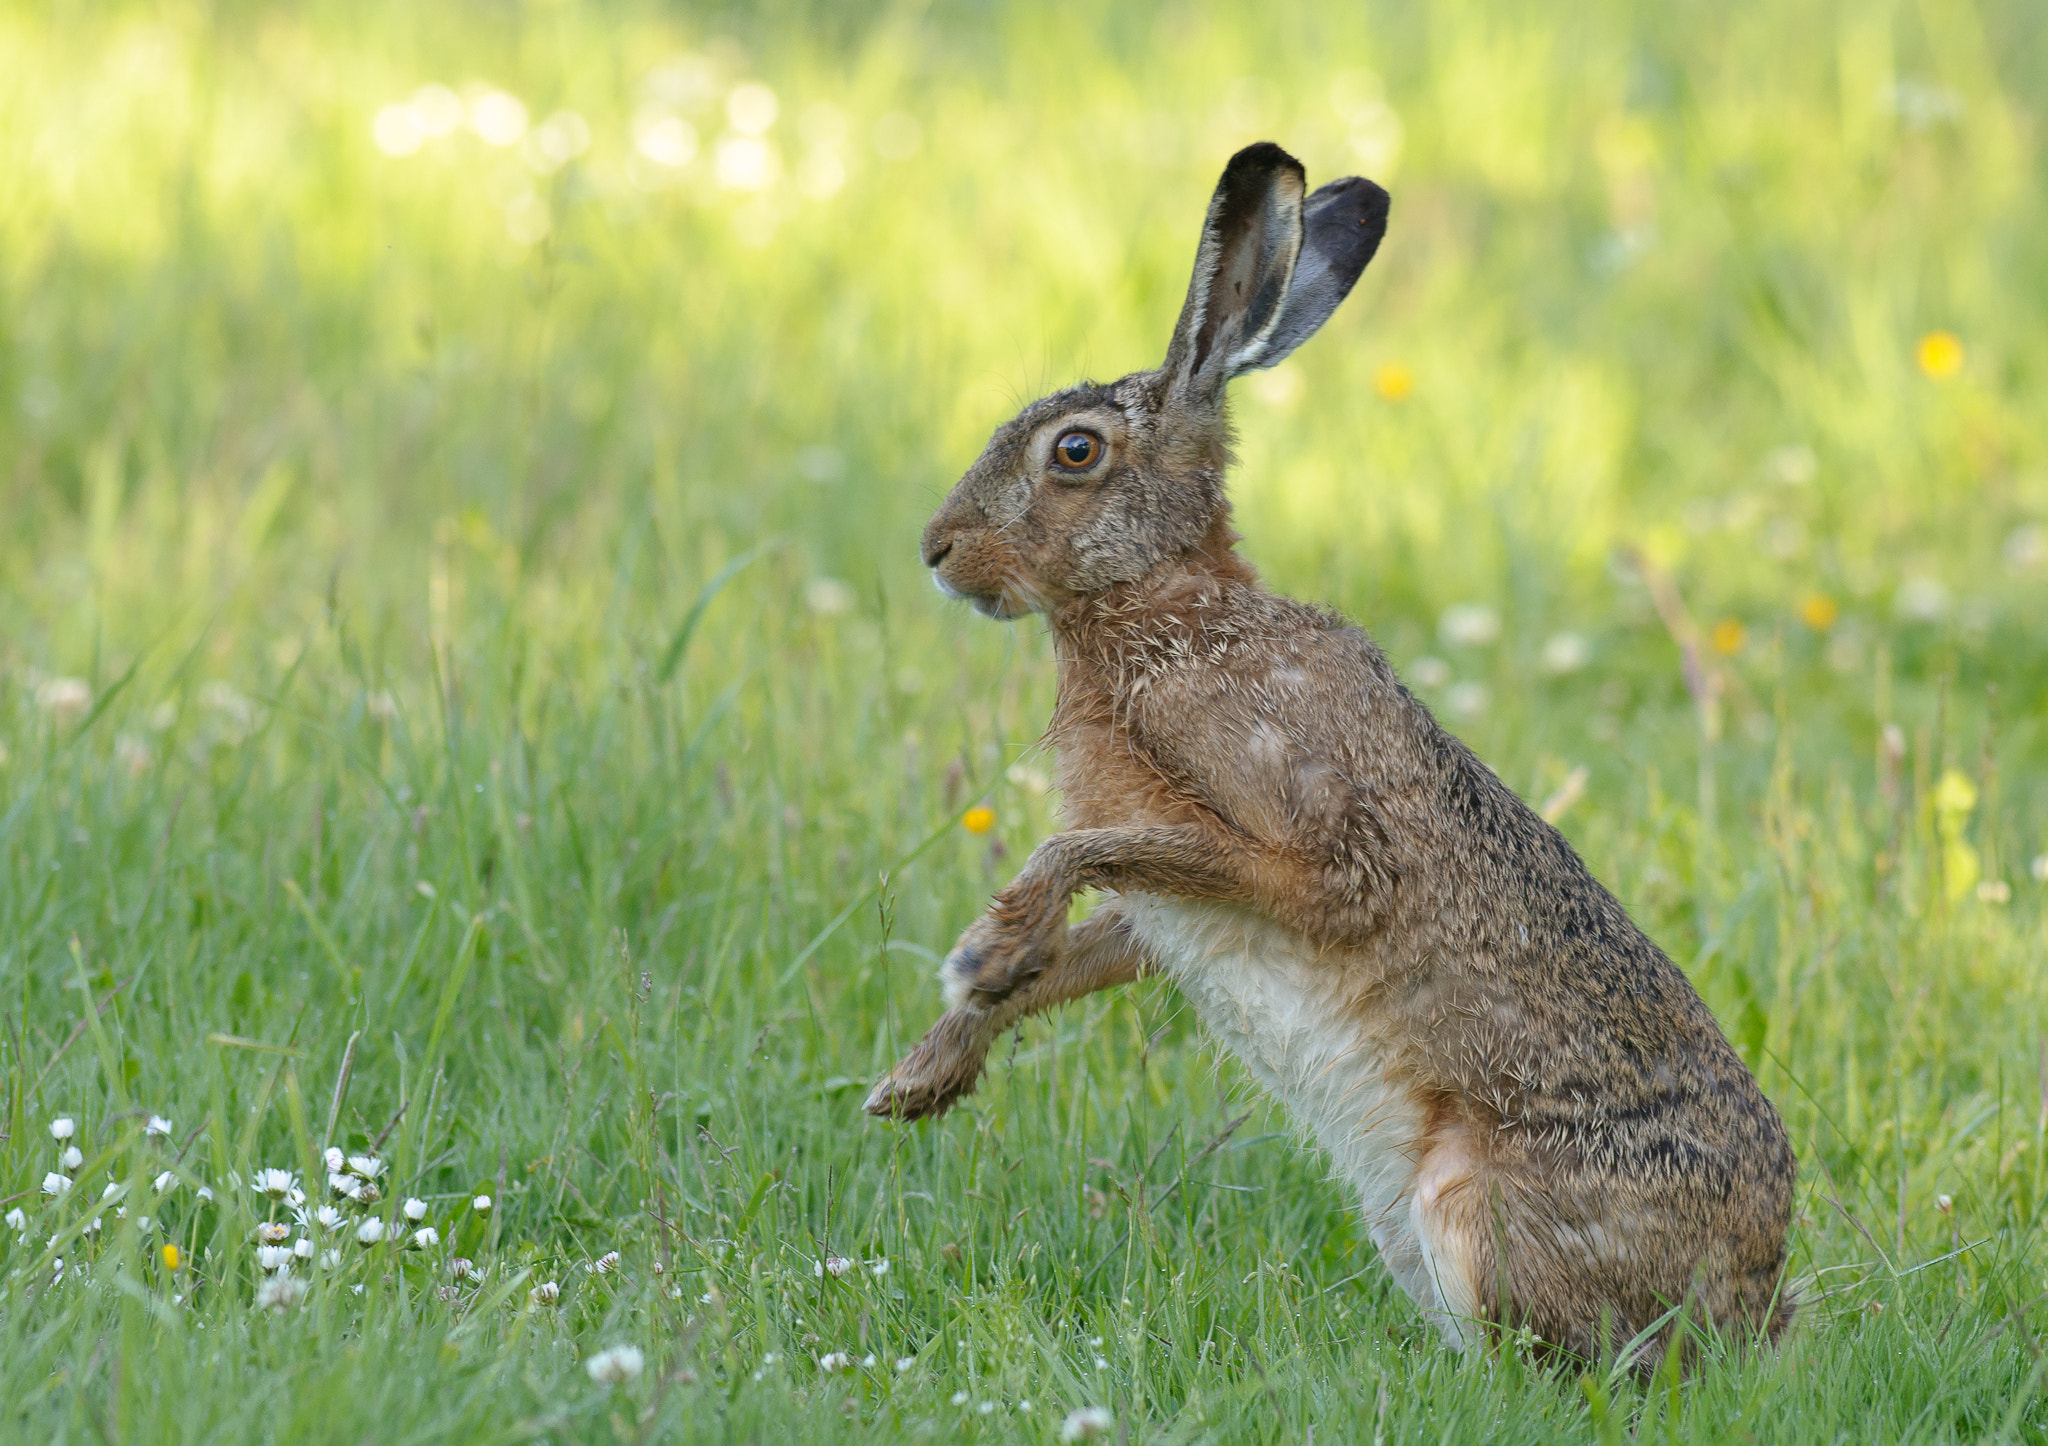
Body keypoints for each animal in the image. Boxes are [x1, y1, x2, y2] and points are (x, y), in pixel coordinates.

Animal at [865, 141, 1796, 1364]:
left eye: (1074, 452)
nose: (934, 549)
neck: (1171, 614)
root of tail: (1759, 1302)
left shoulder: (1307, 847)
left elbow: (1075, 855)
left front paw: (983, 950)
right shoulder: (1172, 907)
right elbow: (1076, 945)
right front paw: (920, 1079)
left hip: (1467, 1208)